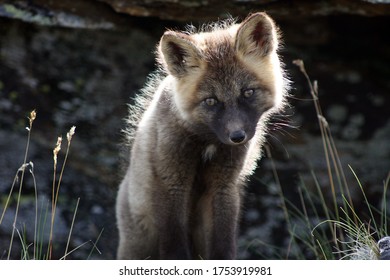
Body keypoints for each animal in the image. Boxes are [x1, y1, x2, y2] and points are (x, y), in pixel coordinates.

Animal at [116, 12, 290, 260]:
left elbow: (223, 245)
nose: (237, 136)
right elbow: (174, 249)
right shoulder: (171, 182)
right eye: (211, 101)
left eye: (247, 92)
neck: (208, 143)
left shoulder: (224, 185)